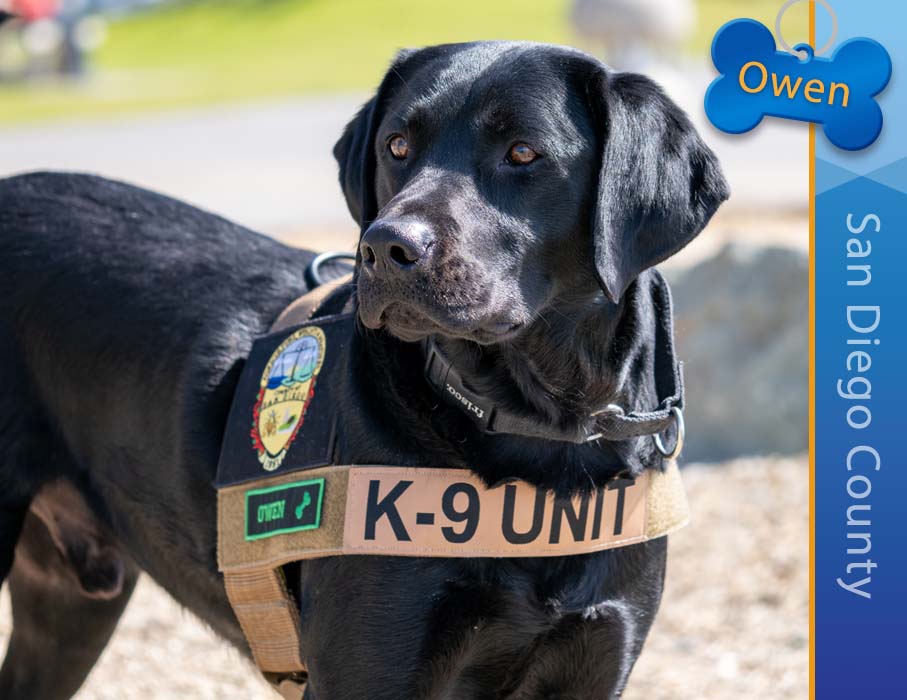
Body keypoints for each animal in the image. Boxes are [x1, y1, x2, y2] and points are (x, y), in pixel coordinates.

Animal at [0, 41, 728, 696]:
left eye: (523, 153)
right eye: (396, 146)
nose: (385, 246)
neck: (541, 432)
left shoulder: (594, 660)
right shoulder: (370, 671)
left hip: (71, 609)